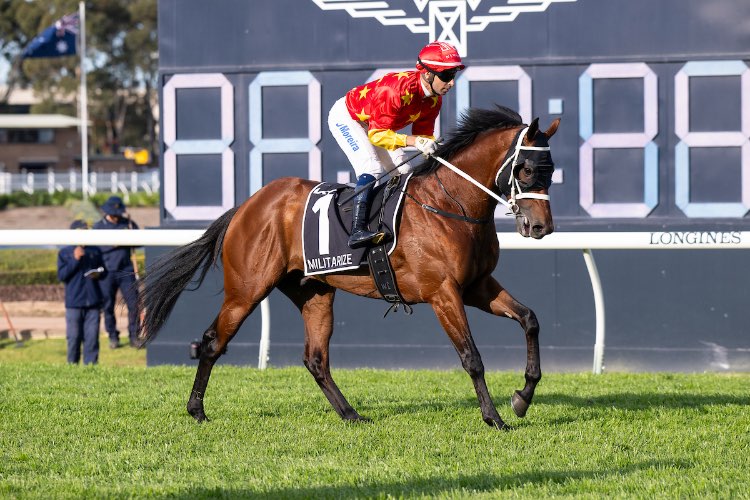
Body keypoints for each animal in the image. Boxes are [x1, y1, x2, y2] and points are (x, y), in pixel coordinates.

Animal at [138, 105, 560, 430]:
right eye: (525, 169)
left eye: (551, 169)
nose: (541, 227)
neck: (450, 205)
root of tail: (247, 205)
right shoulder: (443, 292)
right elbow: (472, 357)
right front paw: (494, 418)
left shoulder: (476, 285)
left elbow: (530, 319)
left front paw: (522, 397)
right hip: (247, 289)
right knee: (213, 341)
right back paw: (197, 410)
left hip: (314, 293)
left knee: (316, 359)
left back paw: (351, 414)